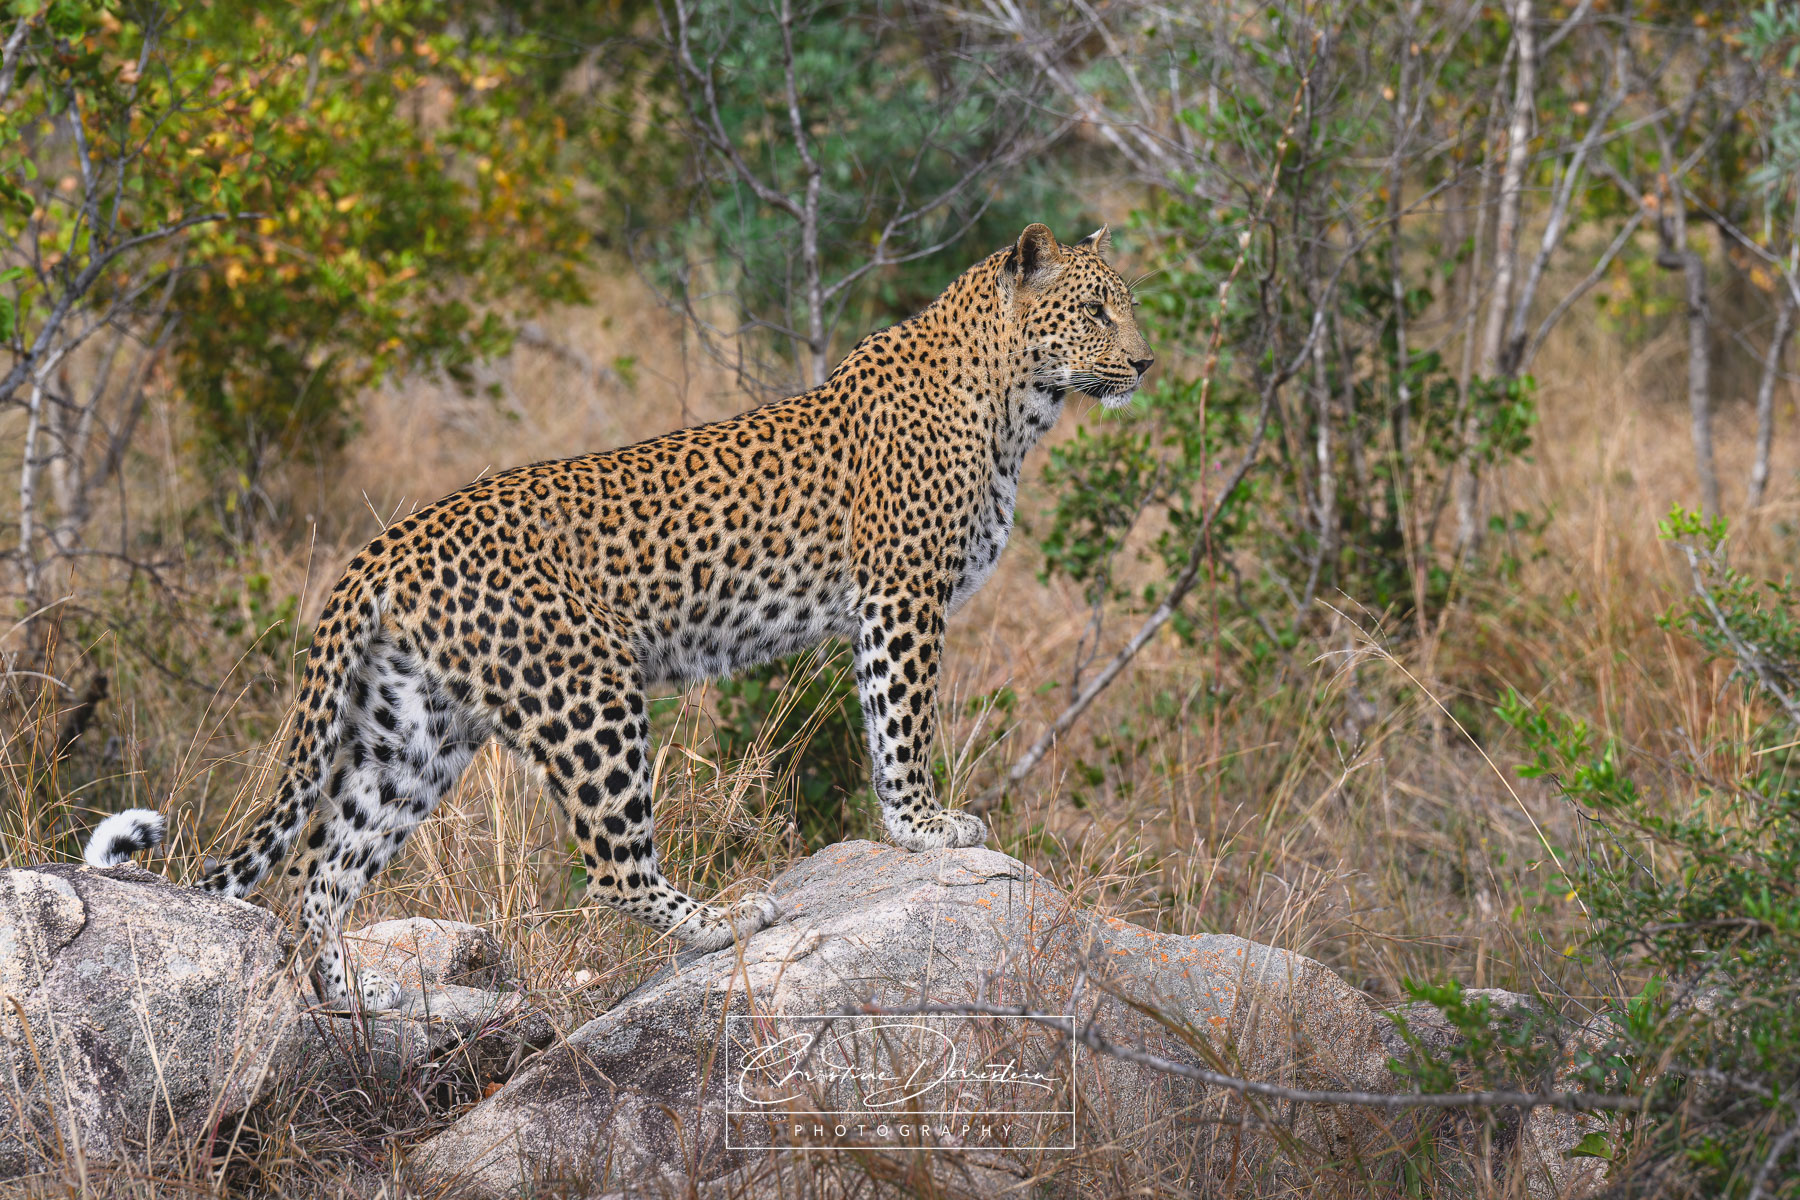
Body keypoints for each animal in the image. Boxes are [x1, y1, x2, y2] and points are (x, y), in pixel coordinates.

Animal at [85, 222, 1154, 1011]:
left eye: (1128, 302)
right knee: (607, 863)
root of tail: (386, 546)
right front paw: (926, 829)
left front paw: (919, 828)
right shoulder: (902, 596)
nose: (1145, 361)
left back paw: (352, 998)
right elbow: (902, 724)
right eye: (1095, 308)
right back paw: (726, 920)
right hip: (589, 687)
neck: (1017, 405)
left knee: (323, 863)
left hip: (416, 730)